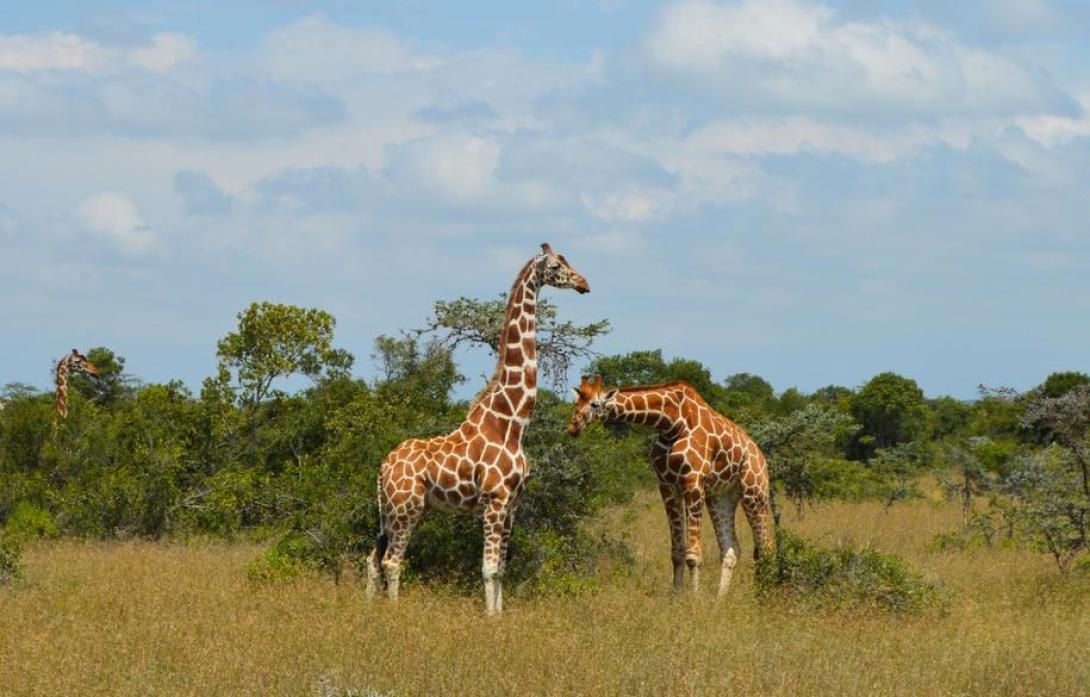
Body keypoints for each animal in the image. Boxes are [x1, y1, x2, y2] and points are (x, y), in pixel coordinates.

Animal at [364, 242, 588, 615]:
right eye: (556, 266)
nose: (584, 283)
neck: (511, 422)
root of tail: (383, 467)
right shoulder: (495, 500)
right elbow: (489, 568)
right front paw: (490, 617)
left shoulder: (513, 504)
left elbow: (502, 568)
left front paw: (499, 614)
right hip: (406, 507)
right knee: (392, 561)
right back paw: (393, 612)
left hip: (394, 510)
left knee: (372, 558)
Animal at [571, 375, 776, 602]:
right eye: (576, 402)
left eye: (594, 404)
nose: (573, 426)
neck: (671, 423)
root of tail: (761, 456)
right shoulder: (667, 486)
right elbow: (677, 552)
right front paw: (676, 596)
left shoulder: (693, 483)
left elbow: (693, 554)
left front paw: (694, 598)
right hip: (721, 497)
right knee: (731, 549)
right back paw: (719, 600)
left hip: (754, 492)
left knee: (766, 546)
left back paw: (764, 596)